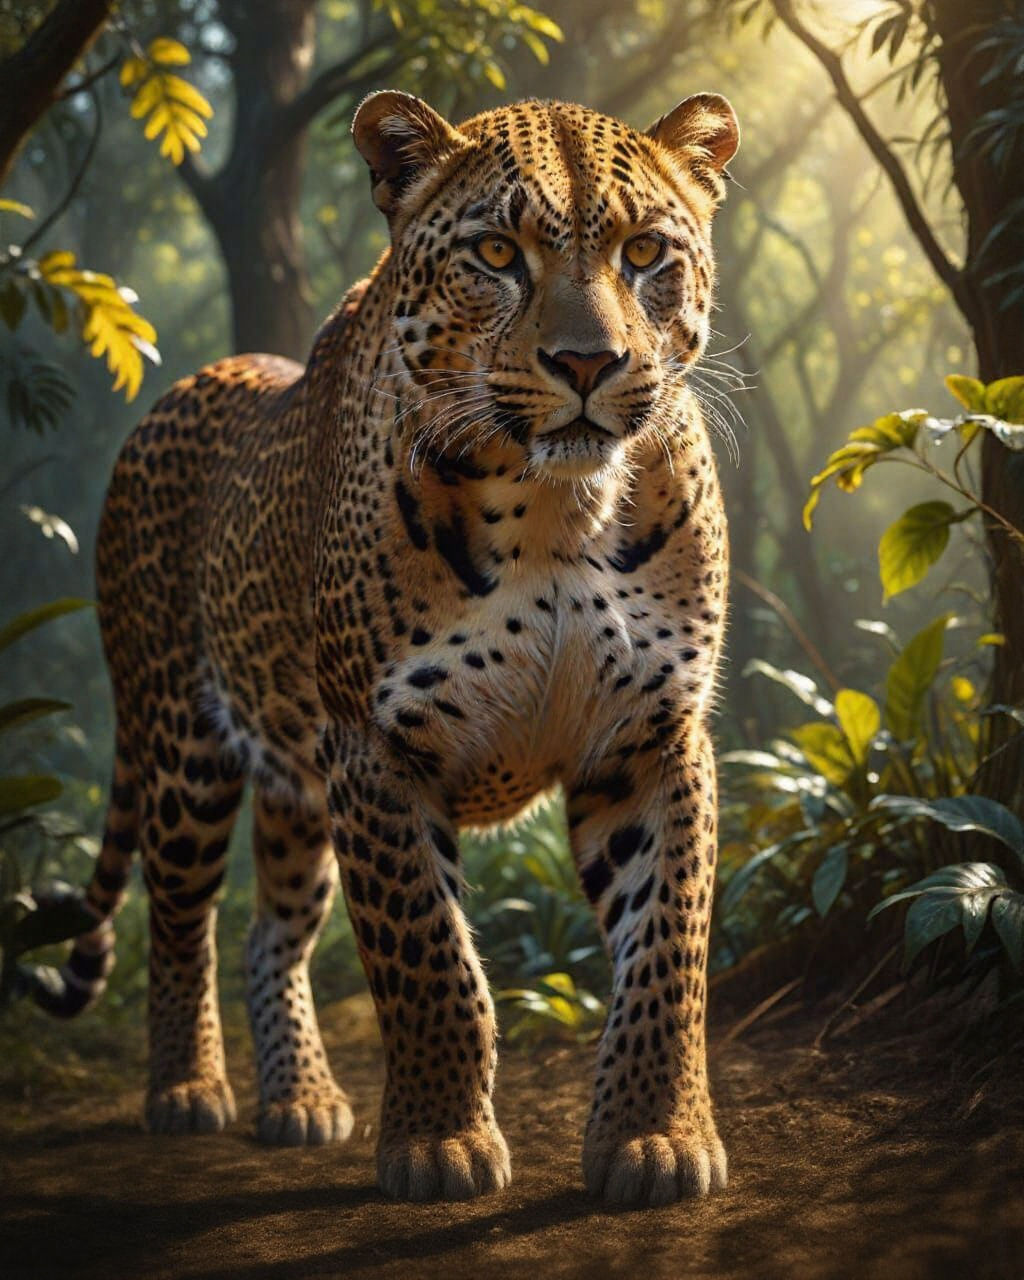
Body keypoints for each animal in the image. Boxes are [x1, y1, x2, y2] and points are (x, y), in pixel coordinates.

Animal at [32, 89, 740, 1207]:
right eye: (496, 252)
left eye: (643, 253)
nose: (587, 363)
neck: (557, 507)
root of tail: (180, 389)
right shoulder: (376, 745)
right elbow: (429, 956)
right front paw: (440, 1142)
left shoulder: (651, 738)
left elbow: (666, 947)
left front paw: (655, 1135)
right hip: (184, 744)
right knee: (182, 918)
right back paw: (188, 1088)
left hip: (293, 788)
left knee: (270, 933)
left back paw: (302, 1100)